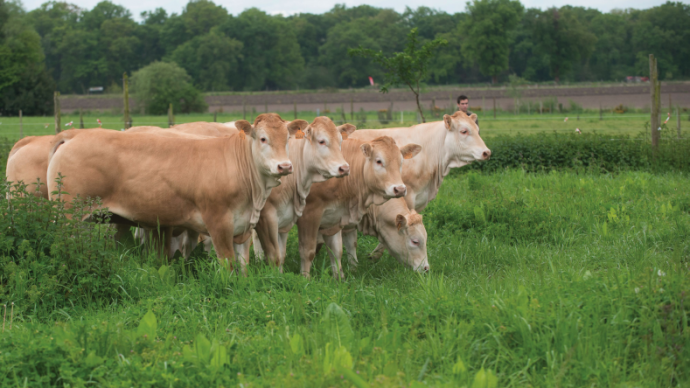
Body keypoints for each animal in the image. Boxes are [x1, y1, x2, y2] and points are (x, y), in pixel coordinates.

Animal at [45, 113, 298, 270]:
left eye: (288, 139)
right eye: (263, 138)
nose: (285, 166)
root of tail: (74, 135)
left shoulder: (242, 226)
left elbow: (243, 265)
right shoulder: (218, 223)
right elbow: (228, 264)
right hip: (67, 218)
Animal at [247, 116, 352, 272]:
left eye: (340, 141)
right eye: (322, 141)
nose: (344, 168)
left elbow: (282, 254)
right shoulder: (268, 217)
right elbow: (277, 253)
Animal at [294, 136, 420, 278]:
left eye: (401, 162)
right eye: (379, 161)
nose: (400, 189)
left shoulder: (336, 218)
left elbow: (339, 249)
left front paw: (342, 276)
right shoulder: (309, 215)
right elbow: (308, 250)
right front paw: (305, 277)